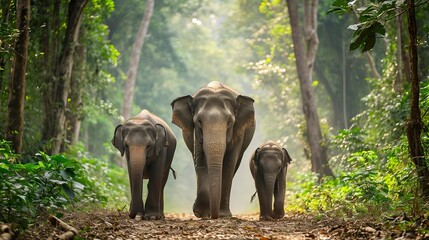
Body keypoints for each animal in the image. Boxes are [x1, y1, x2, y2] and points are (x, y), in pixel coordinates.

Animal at [170, 81, 254, 218]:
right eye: (199, 121)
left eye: (229, 122)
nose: (214, 215)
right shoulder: (196, 133)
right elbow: (201, 162)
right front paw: (201, 213)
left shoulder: (238, 132)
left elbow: (229, 165)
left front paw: (223, 214)